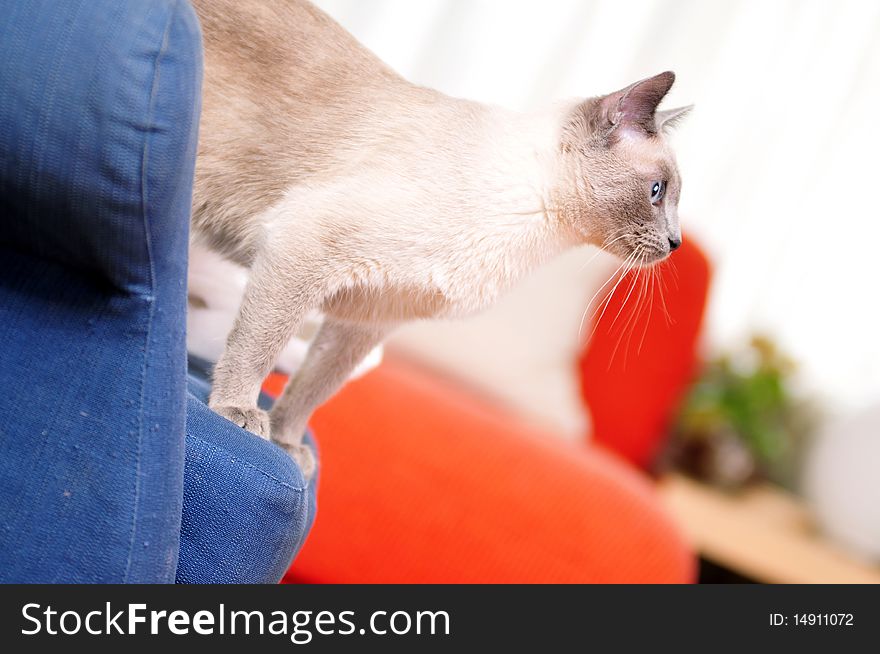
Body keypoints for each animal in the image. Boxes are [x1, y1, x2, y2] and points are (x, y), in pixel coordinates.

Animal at [189, 0, 692, 480]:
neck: (532, 233)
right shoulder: (306, 247)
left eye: (671, 196)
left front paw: (286, 445)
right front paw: (238, 414)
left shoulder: (367, 318)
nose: (676, 242)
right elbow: (259, 349)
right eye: (656, 191)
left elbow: (313, 389)